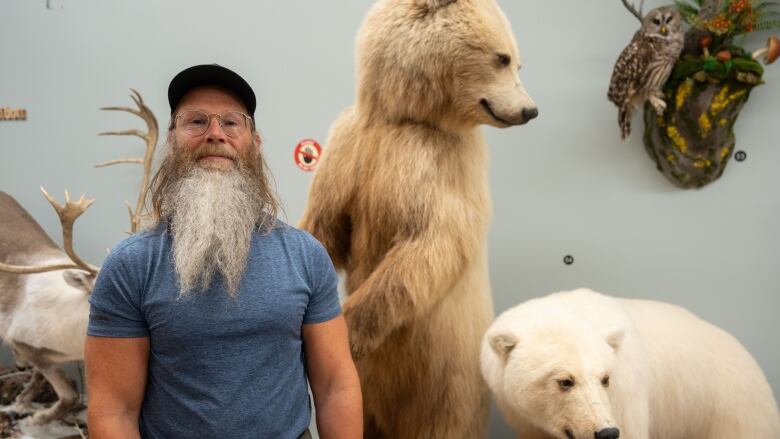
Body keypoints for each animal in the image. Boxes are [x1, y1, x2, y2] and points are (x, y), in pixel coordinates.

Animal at [298, 0, 536, 436]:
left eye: (515, 59)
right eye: (503, 57)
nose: (530, 109)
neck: (401, 115)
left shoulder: (435, 161)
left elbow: (430, 240)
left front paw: (347, 329)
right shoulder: (348, 149)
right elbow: (326, 227)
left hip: (446, 378)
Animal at [482, 288, 780, 439]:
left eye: (605, 378)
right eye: (565, 381)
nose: (606, 433)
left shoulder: (625, 394)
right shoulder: (521, 414)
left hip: (729, 409)